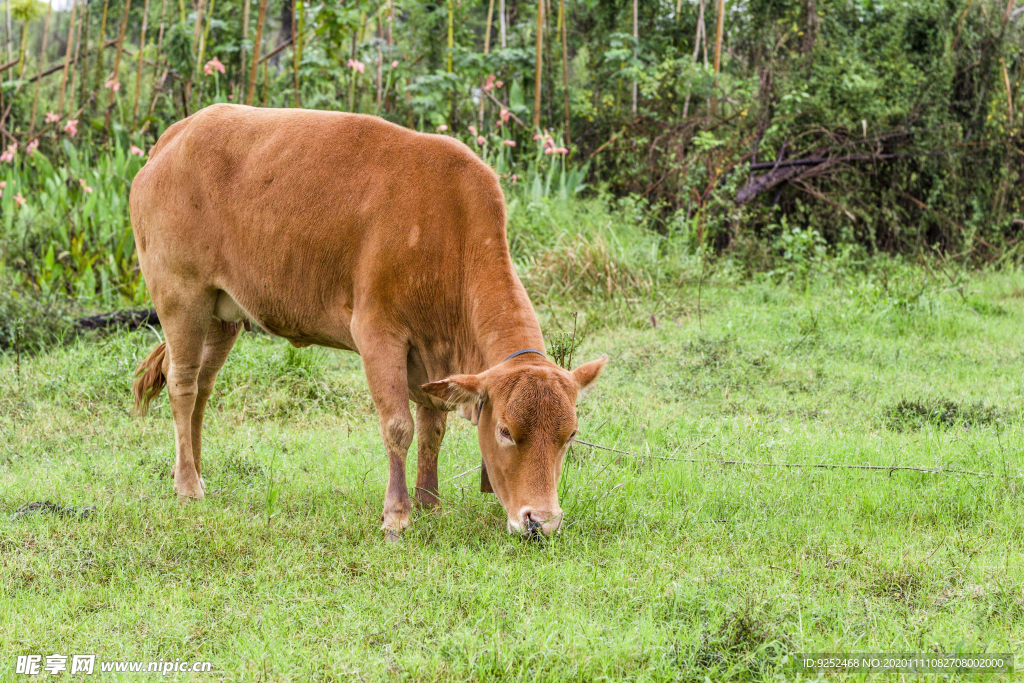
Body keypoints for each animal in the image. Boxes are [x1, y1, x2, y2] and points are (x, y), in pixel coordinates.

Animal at [131, 104, 602, 536]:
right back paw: (188, 485)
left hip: (221, 315)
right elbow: (398, 427)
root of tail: (174, 136)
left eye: (570, 435)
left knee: (203, 386)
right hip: (181, 297)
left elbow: (433, 429)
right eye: (505, 430)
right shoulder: (378, 334)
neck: (450, 232)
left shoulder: (434, 358)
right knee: (183, 383)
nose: (541, 521)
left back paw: (190, 470)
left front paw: (430, 504)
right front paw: (397, 515)